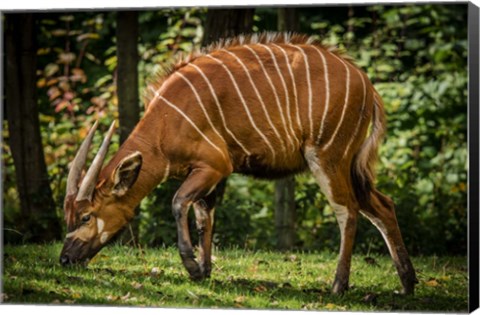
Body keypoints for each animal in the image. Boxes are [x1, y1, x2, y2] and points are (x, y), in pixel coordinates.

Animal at [60, 33, 418, 296]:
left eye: (86, 215)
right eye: (68, 216)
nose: (64, 258)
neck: (165, 123)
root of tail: (367, 84)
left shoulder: (215, 166)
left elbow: (179, 202)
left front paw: (192, 266)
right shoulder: (207, 174)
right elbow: (204, 214)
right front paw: (204, 270)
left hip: (329, 157)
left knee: (347, 211)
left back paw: (338, 286)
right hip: (350, 165)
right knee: (382, 205)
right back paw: (407, 284)